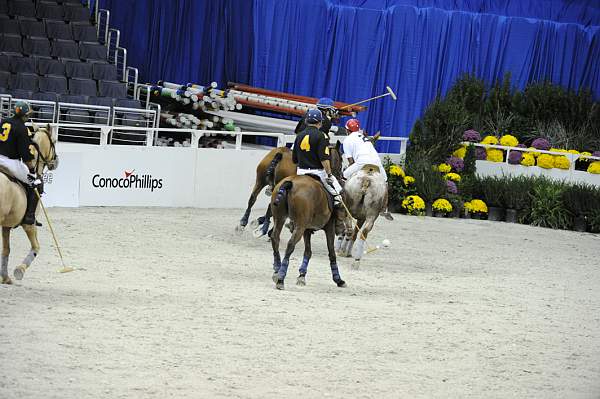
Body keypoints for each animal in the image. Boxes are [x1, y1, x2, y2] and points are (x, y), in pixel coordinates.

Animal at [0, 125, 58, 284]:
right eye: (54, 141)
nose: (56, 162)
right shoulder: (29, 225)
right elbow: (36, 247)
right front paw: (19, 270)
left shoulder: (6, 224)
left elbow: (6, 250)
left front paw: (5, 277)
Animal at [268, 142, 344, 290]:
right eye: (341, 161)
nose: (341, 176)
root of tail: (290, 183)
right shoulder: (329, 227)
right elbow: (331, 253)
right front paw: (338, 279)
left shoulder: (308, 230)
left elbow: (308, 252)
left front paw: (302, 276)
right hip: (300, 225)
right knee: (290, 244)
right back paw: (281, 278)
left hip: (280, 218)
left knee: (275, 238)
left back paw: (277, 270)